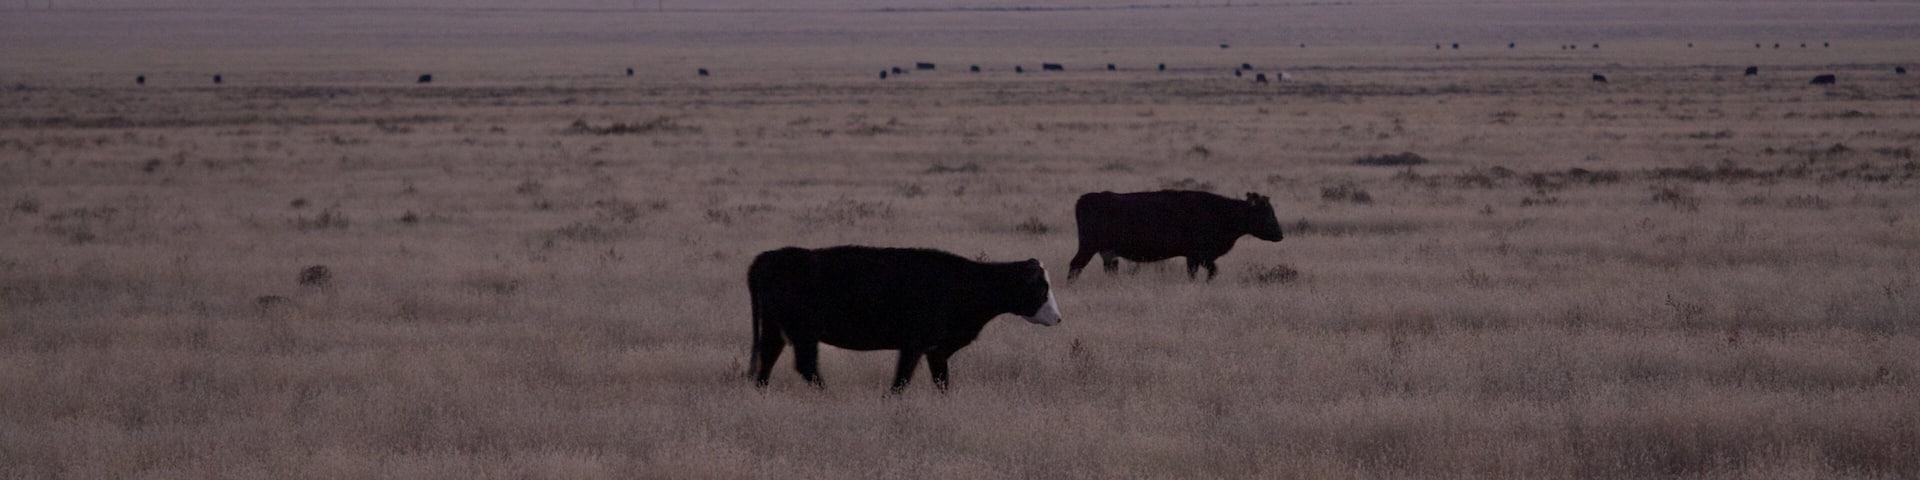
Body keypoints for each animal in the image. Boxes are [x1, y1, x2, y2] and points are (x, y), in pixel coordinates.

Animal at [748, 246, 1061, 393]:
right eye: (1042, 288)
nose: (1058, 318)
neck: (967, 283)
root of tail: (770, 257)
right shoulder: (914, 344)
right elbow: (902, 379)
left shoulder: (936, 349)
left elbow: (942, 381)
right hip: (804, 333)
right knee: (806, 366)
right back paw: (829, 395)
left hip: (775, 328)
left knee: (768, 358)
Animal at [1068, 191, 1284, 281]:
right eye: (1265, 212)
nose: (1280, 235)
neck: (1223, 211)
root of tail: (1084, 199)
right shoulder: (1199, 255)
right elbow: (1207, 271)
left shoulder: (1196, 257)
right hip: (1087, 247)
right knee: (1075, 265)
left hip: (1106, 252)